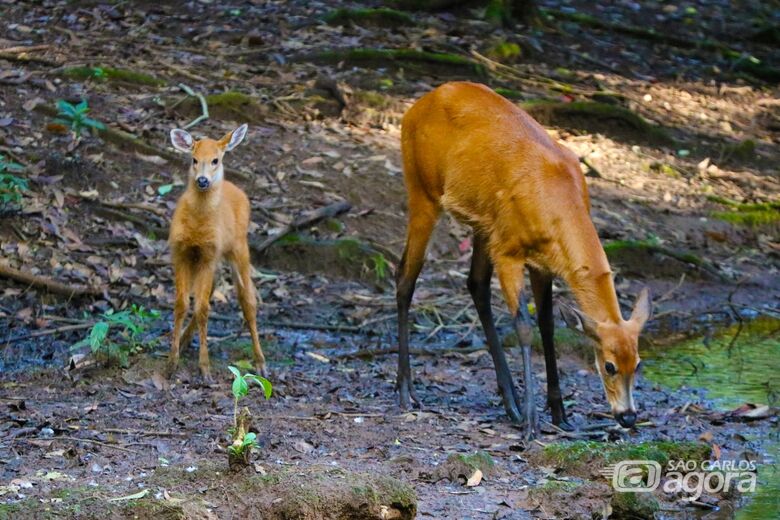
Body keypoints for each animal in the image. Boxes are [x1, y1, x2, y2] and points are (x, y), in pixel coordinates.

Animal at [167, 123, 266, 382]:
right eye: (194, 159)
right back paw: (184, 340)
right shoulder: (180, 252)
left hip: (239, 249)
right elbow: (182, 304)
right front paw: (172, 362)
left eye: (215, 160)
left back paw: (261, 362)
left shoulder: (209, 255)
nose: (202, 180)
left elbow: (203, 308)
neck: (197, 226)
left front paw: (205, 368)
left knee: (248, 301)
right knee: (209, 294)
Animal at [396, 82, 652, 438]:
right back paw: (406, 390)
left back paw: (510, 403)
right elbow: (524, 327)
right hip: (422, 189)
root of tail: (414, 108)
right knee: (406, 276)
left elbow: (547, 325)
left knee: (475, 283)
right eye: (609, 365)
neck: (557, 205)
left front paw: (559, 413)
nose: (627, 416)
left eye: (638, 363)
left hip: (483, 225)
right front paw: (532, 422)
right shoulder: (509, 251)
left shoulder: (543, 264)